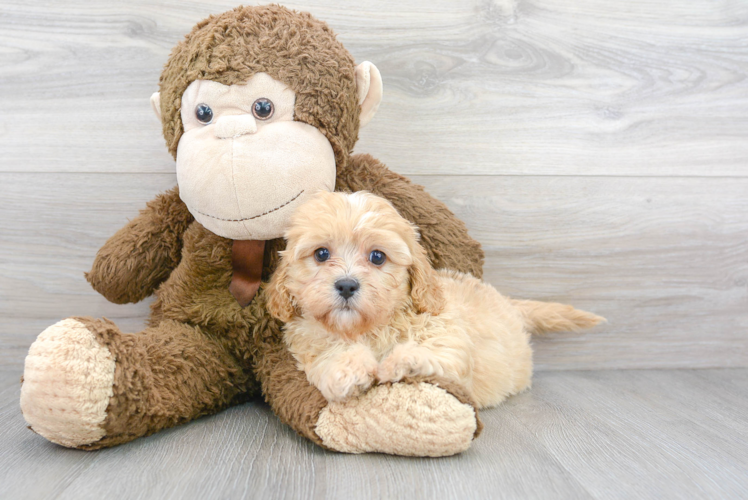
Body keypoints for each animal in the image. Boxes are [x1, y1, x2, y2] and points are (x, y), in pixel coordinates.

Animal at [266, 190, 604, 406]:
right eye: (321, 254)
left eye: (377, 257)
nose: (347, 285)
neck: (370, 328)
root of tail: (507, 303)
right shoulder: (309, 344)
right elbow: (328, 358)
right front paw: (349, 370)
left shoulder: (447, 337)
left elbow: (434, 353)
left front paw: (397, 362)